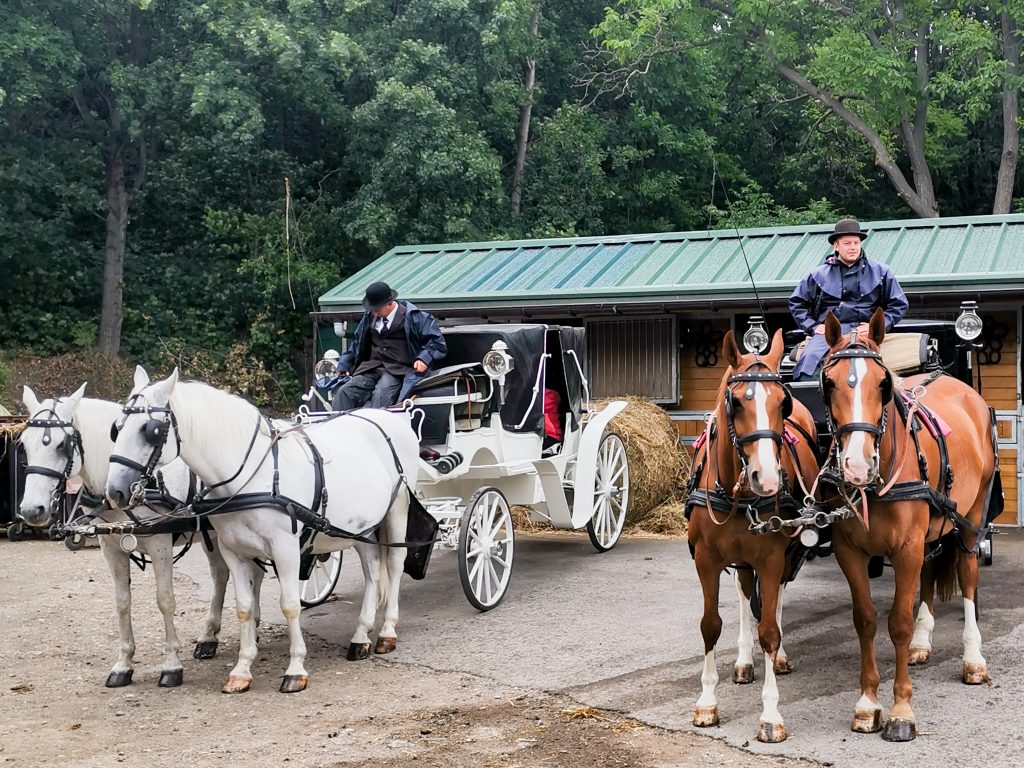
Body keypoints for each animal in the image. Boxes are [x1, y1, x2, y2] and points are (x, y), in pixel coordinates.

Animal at [18, 387, 234, 688]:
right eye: (24, 445)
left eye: (61, 445)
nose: (31, 510)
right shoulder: (110, 547)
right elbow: (122, 603)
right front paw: (123, 665)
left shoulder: (159, 544)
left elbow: (165, 600)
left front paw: (171, 665)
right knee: (221, 575)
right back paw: (208, 638)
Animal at [104, 368, 419, 696]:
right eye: (116, 429)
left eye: (150, 430)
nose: (114, 492)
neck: (254, 475)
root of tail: (389, 417)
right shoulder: (233, 551)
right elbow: (243, 607)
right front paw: (242, 669)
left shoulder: (285, 549)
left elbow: (290, 605)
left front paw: (295, 668)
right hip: (362, 527)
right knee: (372, 572)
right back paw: (360, 635)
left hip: (397, 510)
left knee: (394, 566)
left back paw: (386, 632)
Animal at [684, 331, 819, 745]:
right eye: (736, 401)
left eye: (781, 403)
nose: (768, 478)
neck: (738, 491)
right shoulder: (706, 560)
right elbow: (710, 625)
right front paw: (707, 702)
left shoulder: (772, 559)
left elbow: (770, 630)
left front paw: (771, 715)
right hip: (740, 558)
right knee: (745, 593)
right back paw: (744, 662)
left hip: (787, 552)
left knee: (776, 602)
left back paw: (779, 658)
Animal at [823, 309, 999, 741]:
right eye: (828, 383)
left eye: (883, 384)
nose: (856, 466)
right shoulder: (849, 550)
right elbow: (866, 620)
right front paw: (868, 703)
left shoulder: (907, 546)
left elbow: (898, 623)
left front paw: (902, 711)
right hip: (932, 531)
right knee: (929, 574)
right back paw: (923, 642)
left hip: (970, 521)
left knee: (967, 575)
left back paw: (973, 659)